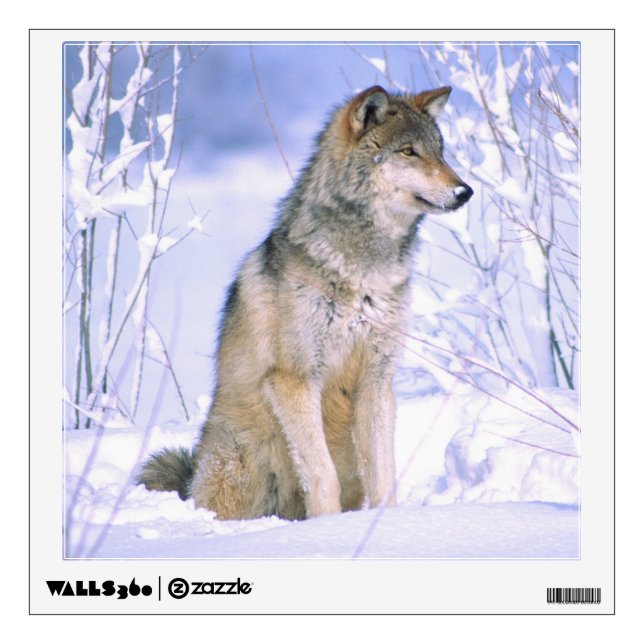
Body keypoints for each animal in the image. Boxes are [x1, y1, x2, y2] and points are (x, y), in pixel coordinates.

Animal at [138, 85, 473, 520]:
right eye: (408, 152)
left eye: (440, 151)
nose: (465, 191)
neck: (364, 271)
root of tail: (190, 479)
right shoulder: (294, 379)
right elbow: (321, 474)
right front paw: (327, 526)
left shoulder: (376, 380)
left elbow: (385, 477)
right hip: (240, 462)